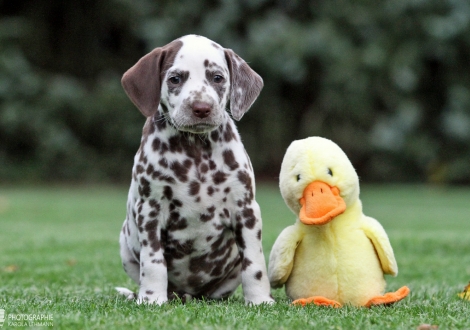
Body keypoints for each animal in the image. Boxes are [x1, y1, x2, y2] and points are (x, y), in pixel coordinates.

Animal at [115, 34, 274, 306]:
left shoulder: (246, 209)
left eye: (217, 78)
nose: (201, 107)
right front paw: (151, 299)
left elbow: (254, 262)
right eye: (175, 79)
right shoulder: (150, 209)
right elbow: (154, 263)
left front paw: (260, 299)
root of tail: (189, 295)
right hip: (125, 243)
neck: (195, 150)